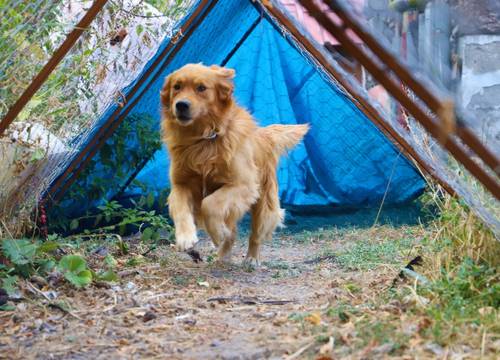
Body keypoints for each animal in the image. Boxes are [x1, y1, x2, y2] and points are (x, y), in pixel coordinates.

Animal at [161, 63, 308, 264]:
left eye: (201, 88)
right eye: (177, 86)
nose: (181, 105)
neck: (204, 141)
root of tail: (264, 135)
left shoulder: (243, 185)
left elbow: (209, 204)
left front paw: (217, 233)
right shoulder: (181, 184)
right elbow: (180, 208)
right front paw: (185, 237)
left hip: (264, 201)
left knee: (256, 234)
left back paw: (251, 258)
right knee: (233, 230)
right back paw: (223, 254)